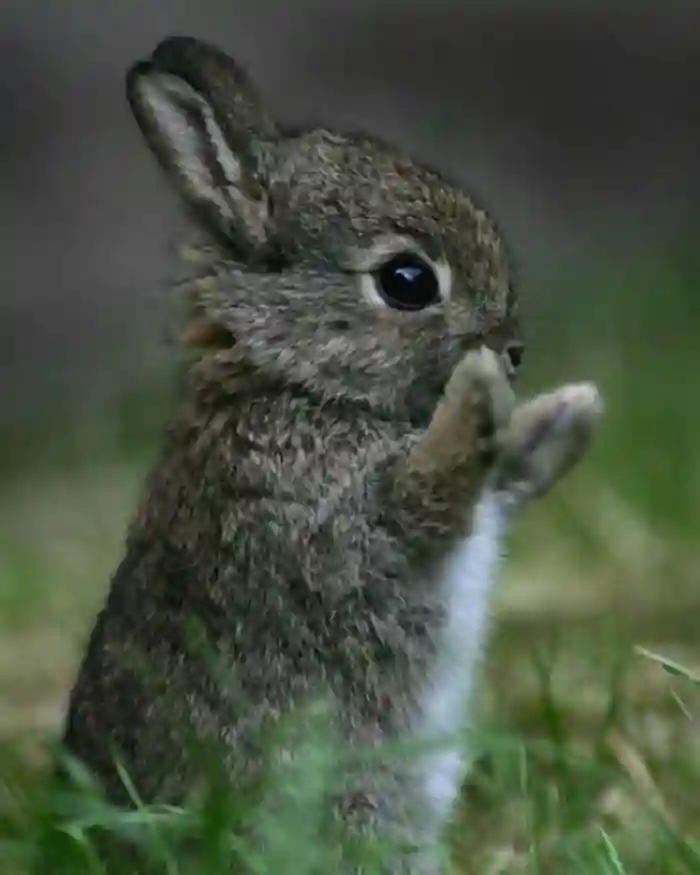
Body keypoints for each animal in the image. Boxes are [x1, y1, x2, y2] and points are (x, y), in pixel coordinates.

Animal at [60, 36, 602, 874]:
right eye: (407, 280)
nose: (513, 351)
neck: (298, 382)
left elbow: (497, 479)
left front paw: (567, 412)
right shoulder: (342, 527)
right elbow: (431, 488)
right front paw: (479, 392)